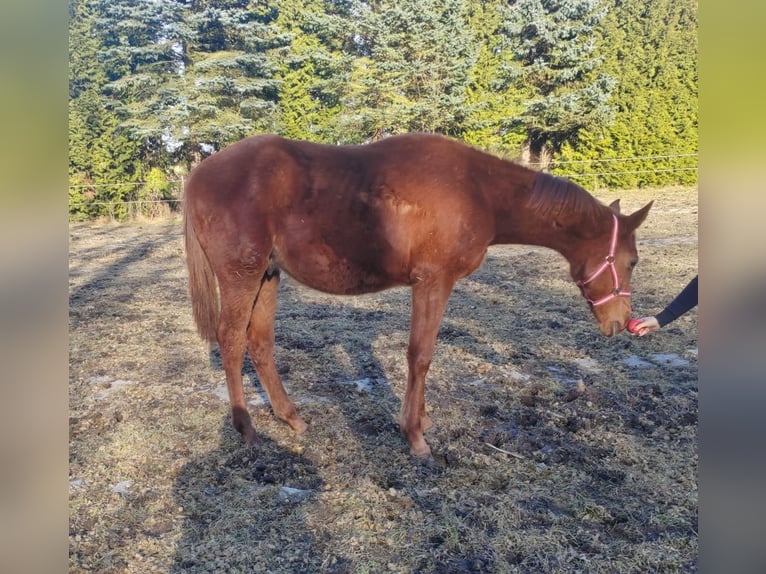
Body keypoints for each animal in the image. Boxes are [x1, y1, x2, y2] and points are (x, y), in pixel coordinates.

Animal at [183, 133, 652, 457]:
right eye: (631, 261)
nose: (620, 323)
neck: (476, 189)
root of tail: (198, 175)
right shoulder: (433, 282)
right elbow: (420, 354)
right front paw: (415, 436)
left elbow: (424, 354)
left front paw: (421, 420)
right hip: (242, 276)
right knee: (231, 340)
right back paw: (246, 427)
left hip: (268, 275)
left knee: (259, 342)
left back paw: (291, 417)